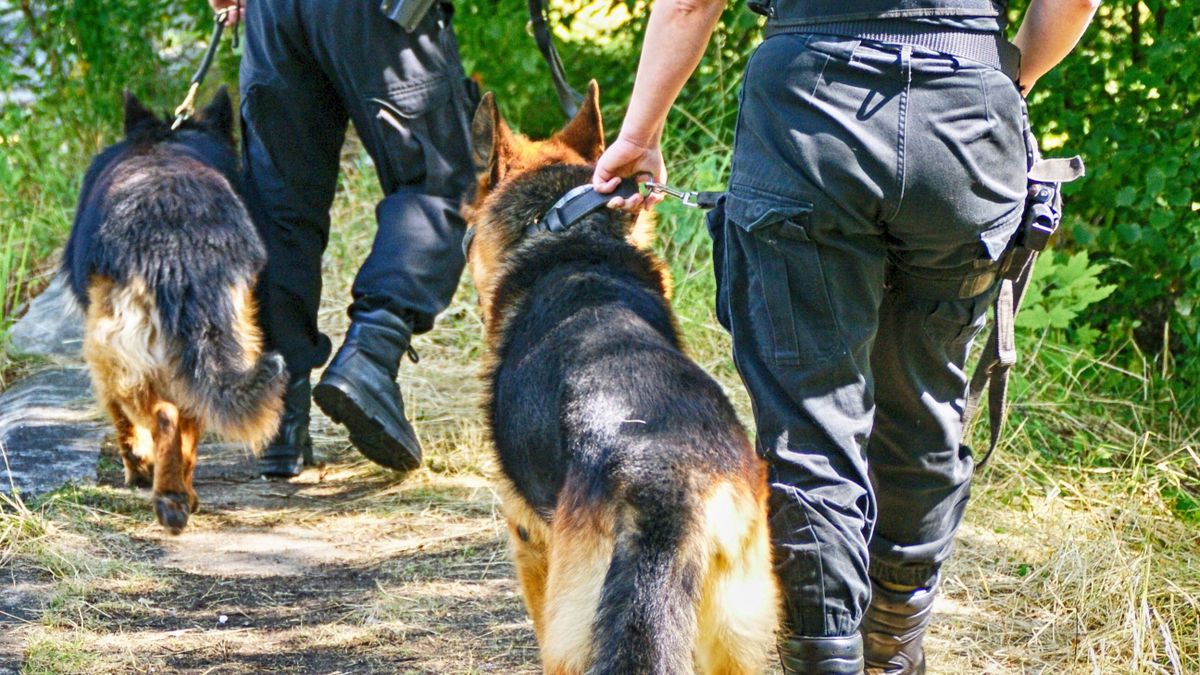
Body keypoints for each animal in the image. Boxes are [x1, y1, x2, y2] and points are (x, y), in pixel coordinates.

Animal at [64, 89, 289, 530]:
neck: (167, 137)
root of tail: (177, 238)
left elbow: (122, 419)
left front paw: (138, 465)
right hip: (229, 333)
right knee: (191, 413)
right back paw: (181, 493)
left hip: (119, 347)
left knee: (162, 415)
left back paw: (166, 494)